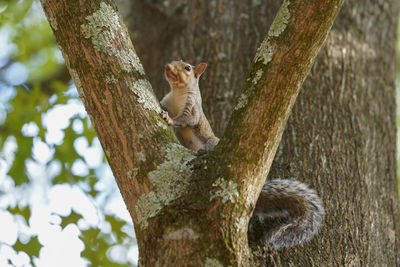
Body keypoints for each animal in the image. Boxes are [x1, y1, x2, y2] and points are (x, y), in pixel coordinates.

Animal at [158, 59, 324, 250]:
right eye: (174, 61)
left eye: (187, 68)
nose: (168, 67)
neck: (178, 92)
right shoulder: (166, 100)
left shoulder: (193, 108)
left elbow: (186, 120)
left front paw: (170, 119)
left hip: (211, 142)